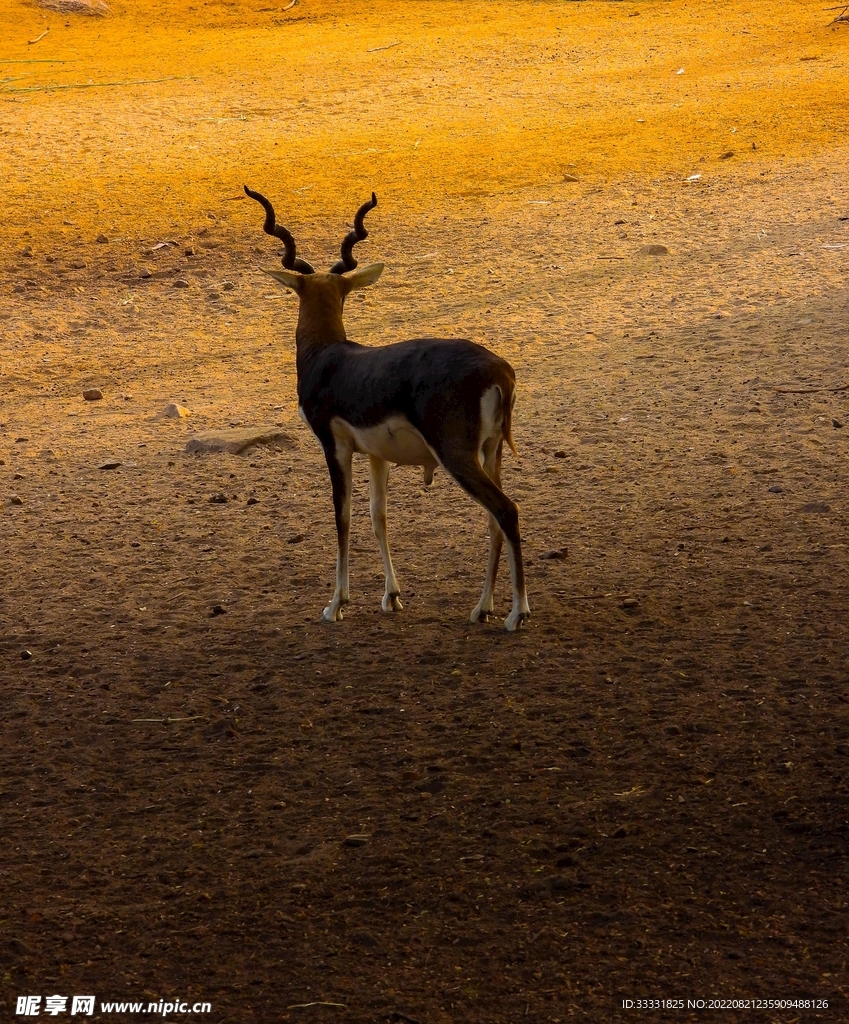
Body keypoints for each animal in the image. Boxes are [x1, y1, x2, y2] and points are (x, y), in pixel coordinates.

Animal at [244, 185, 531, 632]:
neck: (328, 356)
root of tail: (499, 370)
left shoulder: (334, 446)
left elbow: (342, 515)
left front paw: (336, 604)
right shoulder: (376, 455)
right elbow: (378, 516)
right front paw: (391, 596)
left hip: (457, 455)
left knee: (506, 509)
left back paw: (517, 613)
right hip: (491, 451)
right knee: (494, 520)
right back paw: (482, 608)